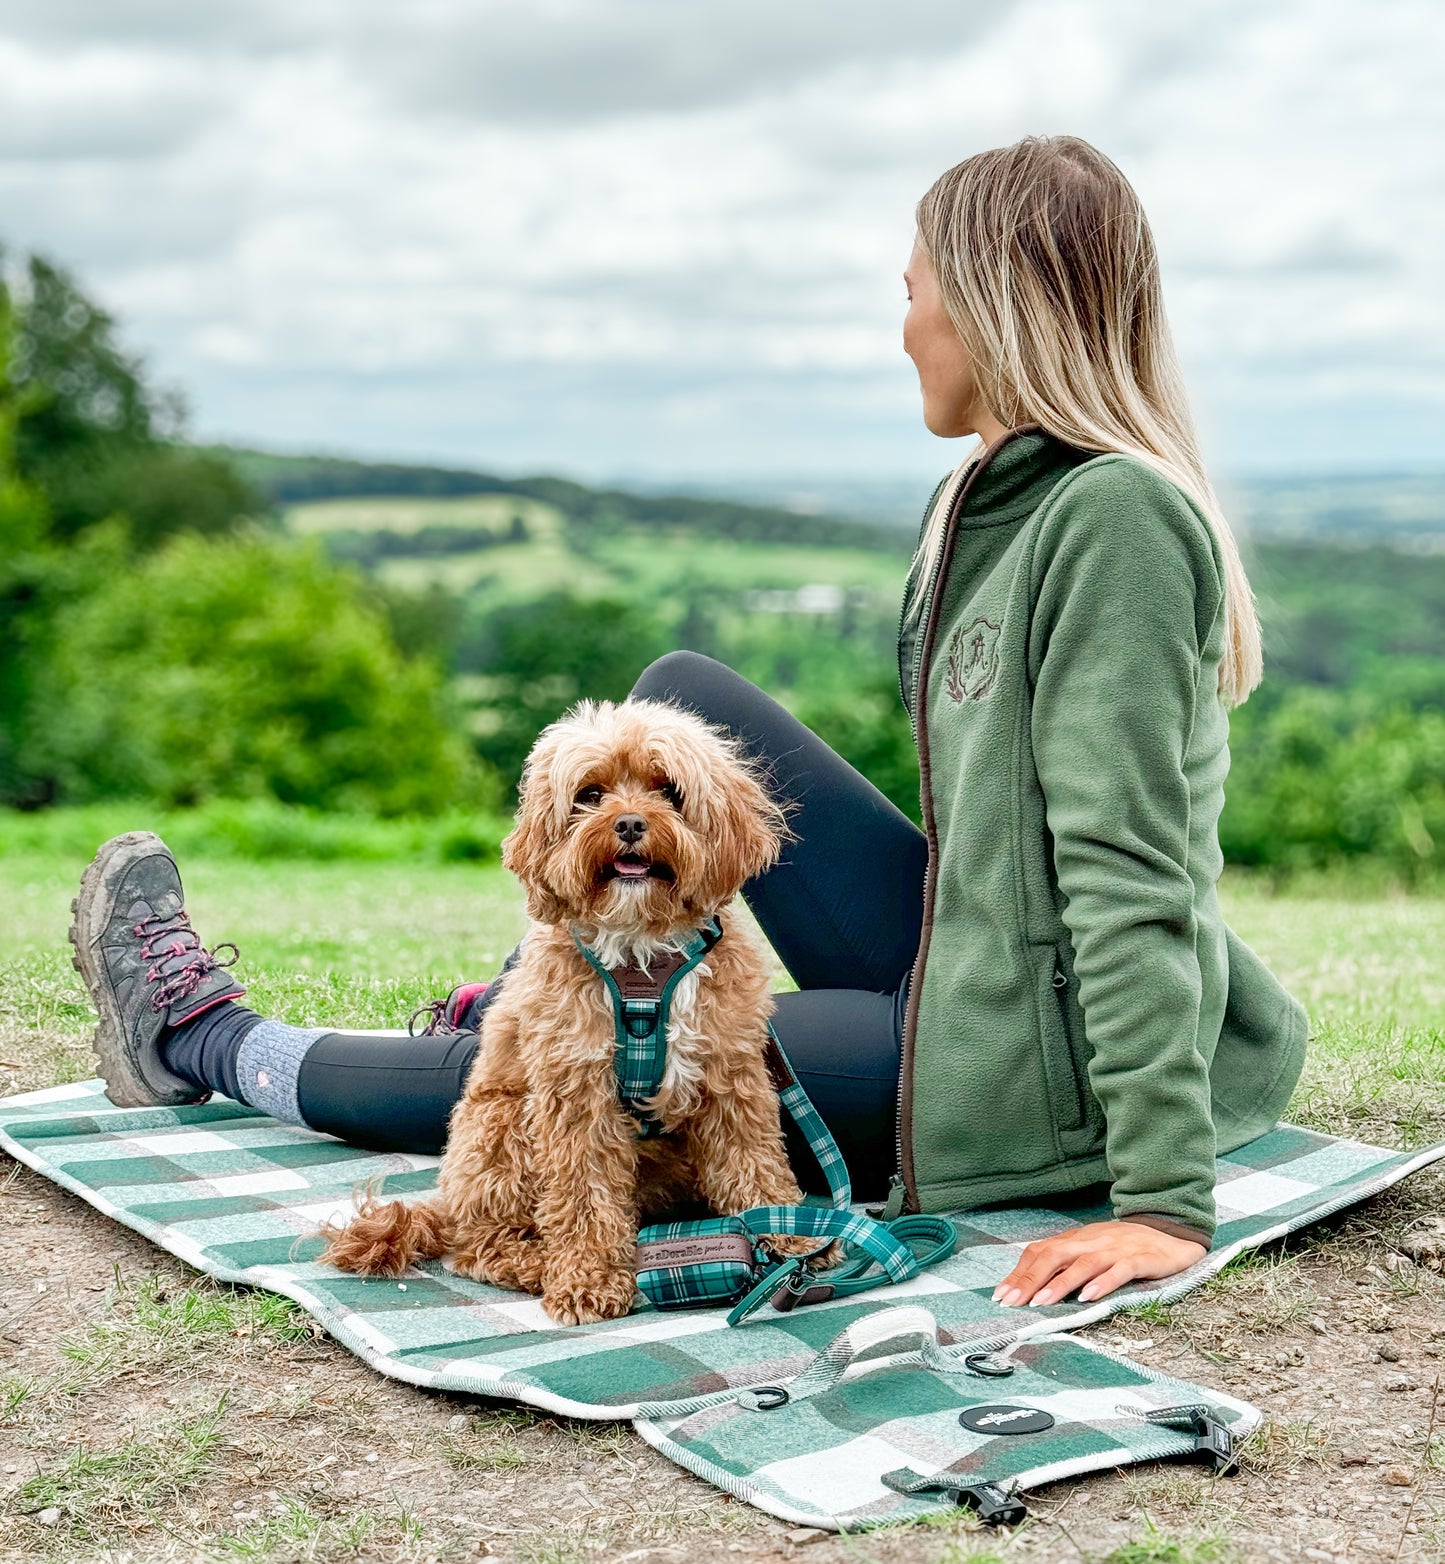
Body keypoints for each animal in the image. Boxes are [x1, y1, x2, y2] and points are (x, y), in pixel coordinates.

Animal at [320, 703, 806, 1326]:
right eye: (590, 794)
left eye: (668, 790)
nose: (629, 824)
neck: (641, 957)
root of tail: (449, 1205)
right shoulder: (575, 1090)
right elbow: (582, 1195)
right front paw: (588, 1280)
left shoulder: (732, 1075)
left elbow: (756, 1163)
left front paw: (796, 1240)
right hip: (500, 1128)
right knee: (479, 1248)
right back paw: (538, 1265)